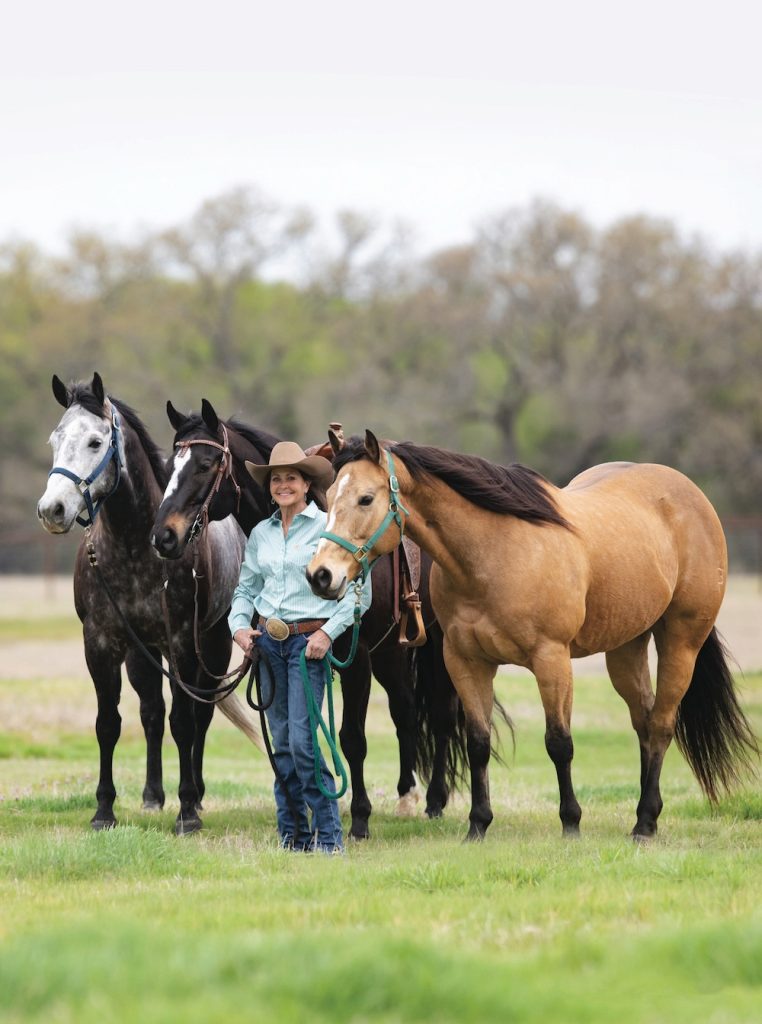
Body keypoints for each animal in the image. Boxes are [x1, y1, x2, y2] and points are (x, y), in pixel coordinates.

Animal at [37, 373, 264, 835]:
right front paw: (104, 810)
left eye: (95, 441)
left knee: (198, 715)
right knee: (152, 713)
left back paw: (196, 794)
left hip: (210, 645)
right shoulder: (101, 644)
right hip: (143, 654)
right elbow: (110, 724)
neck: (133, 547)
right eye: (55, 439)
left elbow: (184, 723)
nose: (52, 510)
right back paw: (152, 796)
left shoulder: (181, 643)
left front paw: (187, 811)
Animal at [150, 400, 471, 839]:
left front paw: (359, 819)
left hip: (435, 646)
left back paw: (435, 799)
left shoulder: (356, 656)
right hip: (392, 653)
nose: (163, 536)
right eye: (170, 467)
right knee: (404, 710)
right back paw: (407, 795)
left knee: (439, 714)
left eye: (205, 463)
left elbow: (351, 738)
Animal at [307, 431, 759, 841]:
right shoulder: (466, 661)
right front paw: (478, 825)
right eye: (328, 495)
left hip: (681, 640)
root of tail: (690, 495)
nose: (321, 575)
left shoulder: (551, 659)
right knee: (644, 722)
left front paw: (571, 824)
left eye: (366, 498)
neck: (495, 552)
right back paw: (644, 815)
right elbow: (477, 743)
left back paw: (645, 824)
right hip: (626, 649)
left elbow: (559, 743)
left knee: (662, 724)